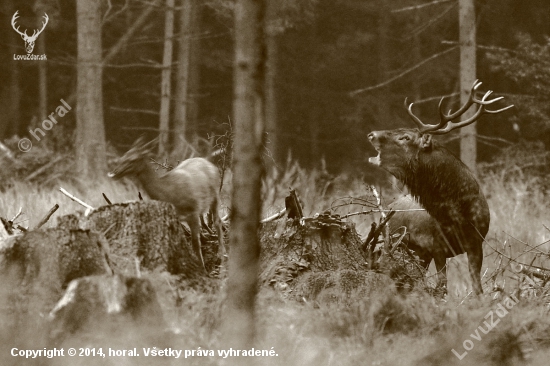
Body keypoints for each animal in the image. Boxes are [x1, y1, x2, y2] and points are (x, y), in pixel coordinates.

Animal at [109, 139, 225, 270]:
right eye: (124, 156)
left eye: (133, 159)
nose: (114, 173)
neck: (170, 193)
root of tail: (212, 165)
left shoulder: (192, 212)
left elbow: (195, 243)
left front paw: (202, 268)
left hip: (215, 194)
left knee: (217, 221)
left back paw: (220, 254)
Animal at [368, 80, 516, 294]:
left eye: (405, 137)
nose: (371, 134)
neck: (459, 215)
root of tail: (388, 209)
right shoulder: (436, 247)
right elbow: (442, 287)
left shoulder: (475, 244)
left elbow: (476, 288)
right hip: (400, 243)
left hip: (418, 252)